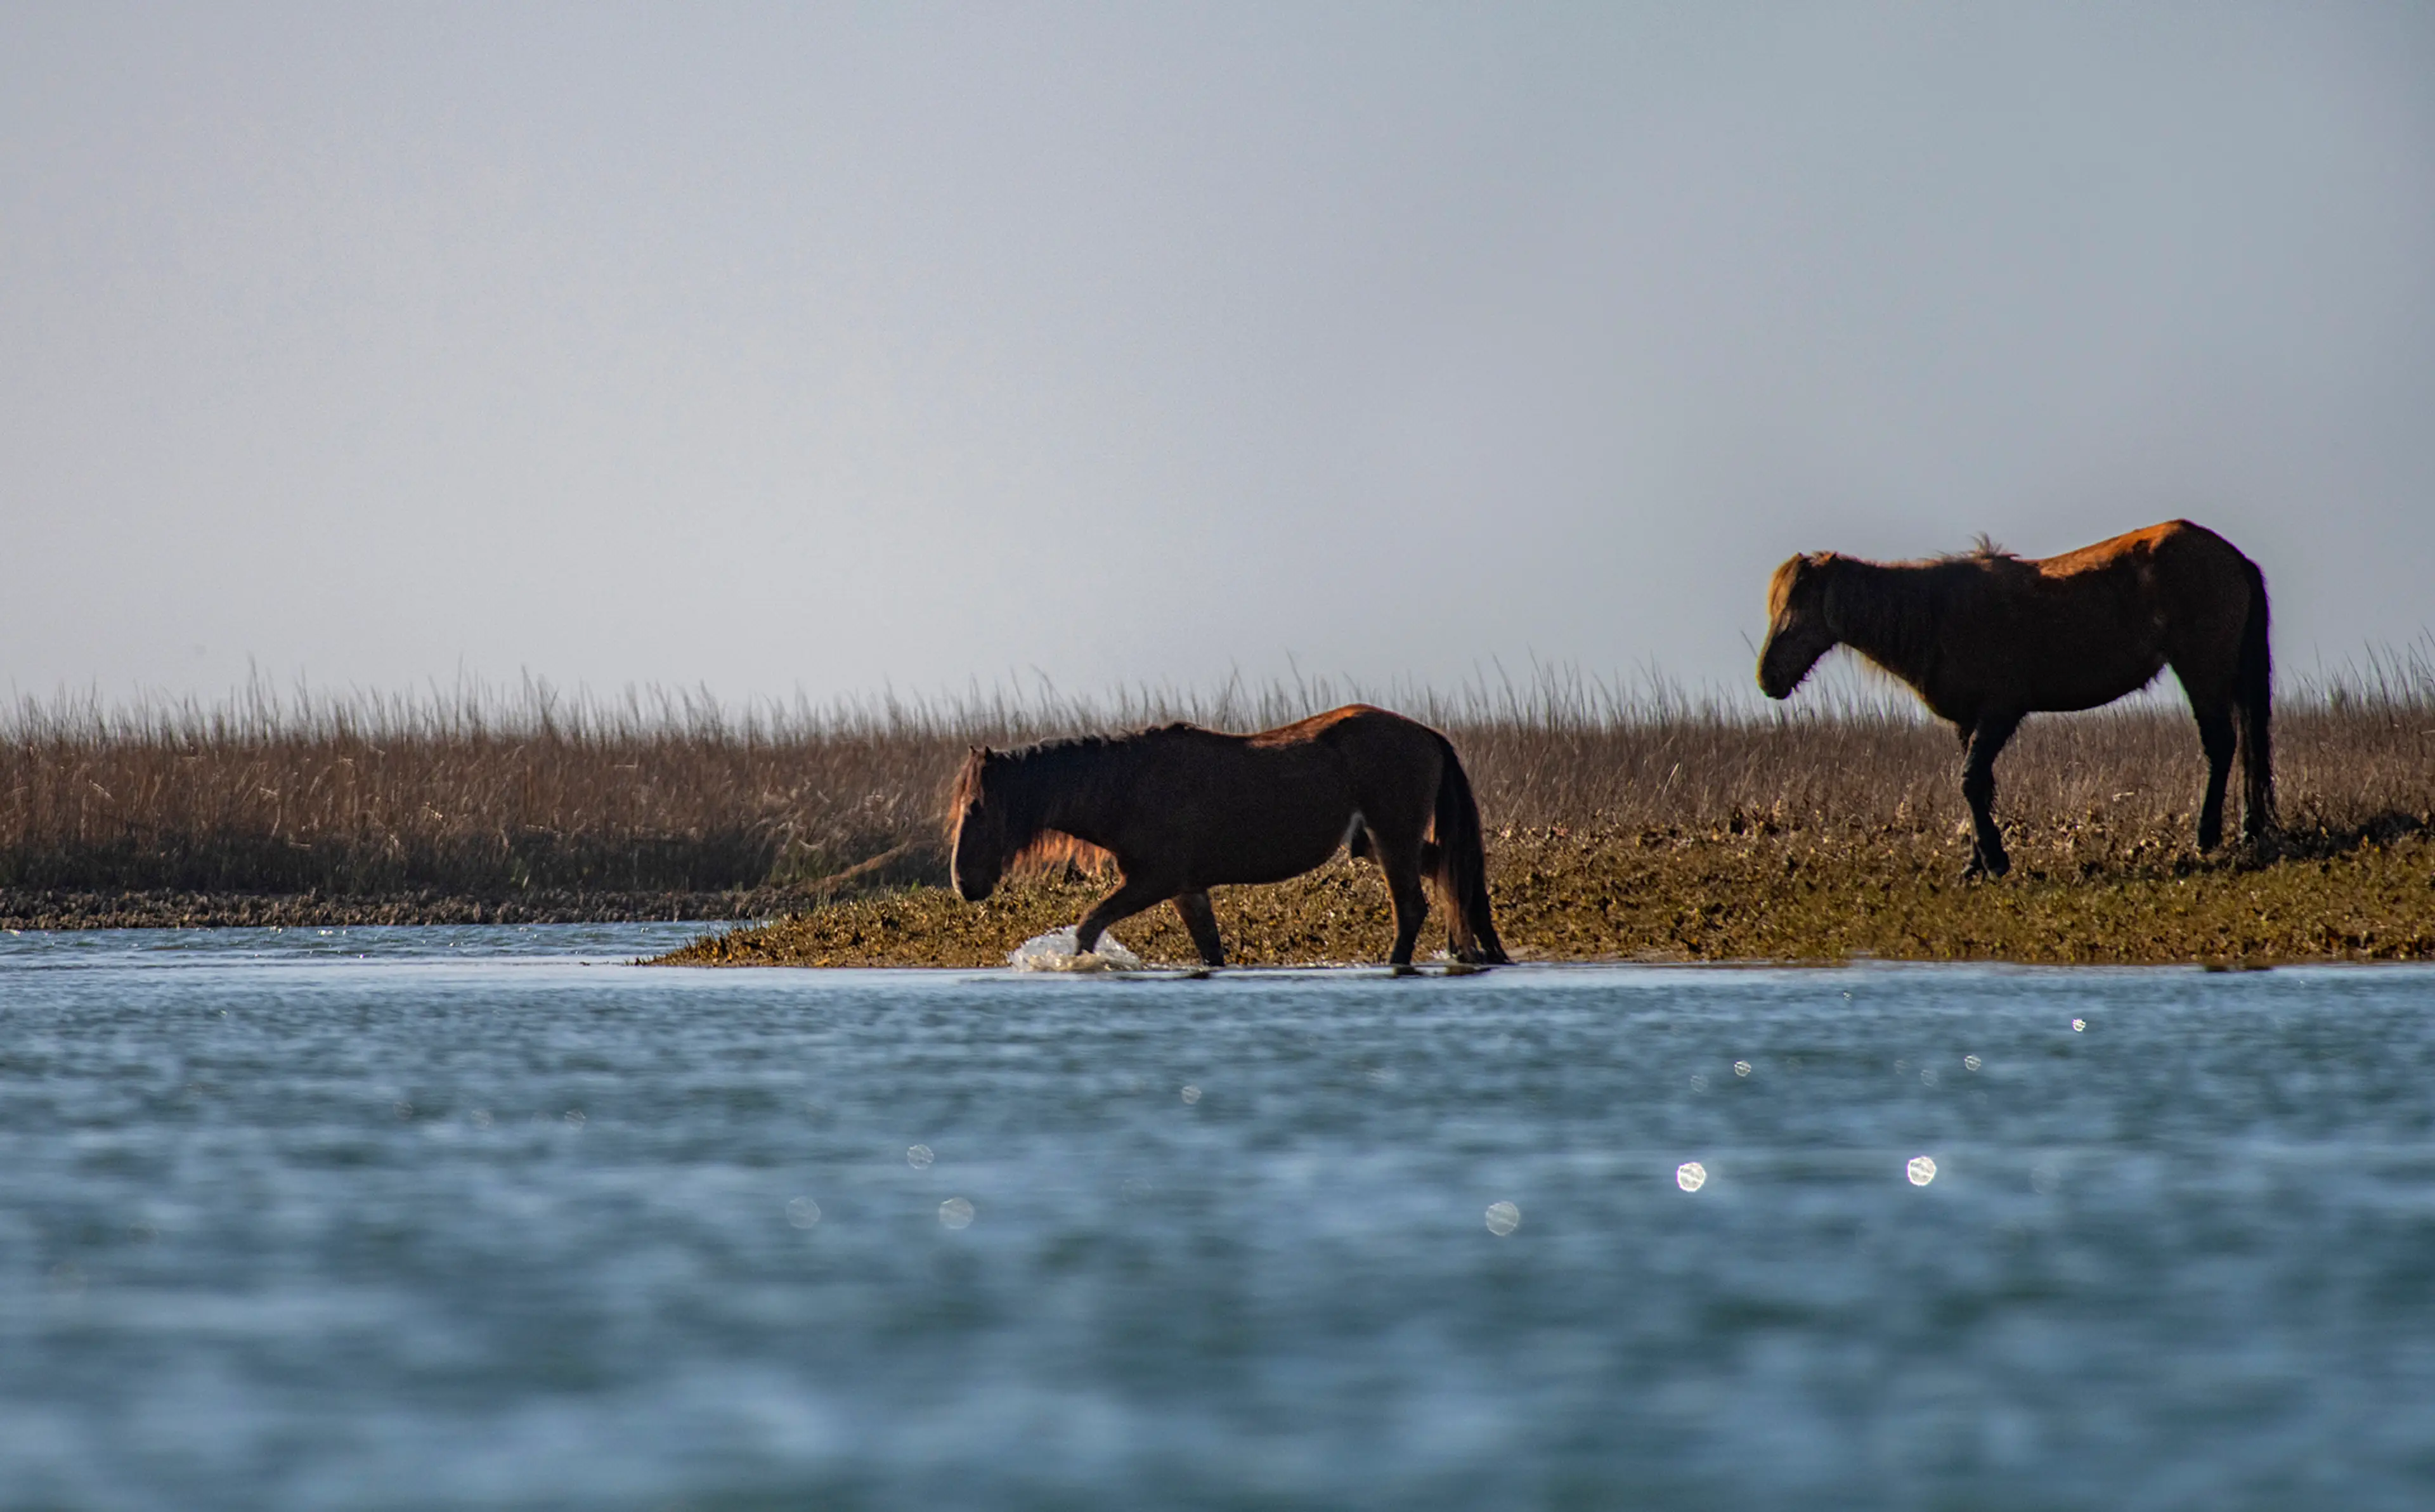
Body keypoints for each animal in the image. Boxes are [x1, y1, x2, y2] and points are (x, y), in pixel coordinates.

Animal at [946, 705, 1509, 969]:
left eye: (977, 807)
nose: (963, 883)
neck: (1126, 787)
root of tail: (1427, 734)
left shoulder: (1154, 881)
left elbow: (1087, 927)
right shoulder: (1187, 889)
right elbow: (1210, 949)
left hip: (1391, 837)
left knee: (1412, 906)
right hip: (1378, 841)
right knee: (1453, 876)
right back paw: (1477, 950)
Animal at [1757, 519, 2273, 878]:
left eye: (1796, 613)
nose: (1767, 678)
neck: (1937, 616)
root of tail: (2232, 556)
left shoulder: (2000, 713)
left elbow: (1970, 782)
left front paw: (1995, 861)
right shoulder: (1968, 722)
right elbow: (1978, 785)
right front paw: (1975, 863)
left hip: (2201, 669)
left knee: (2222, 744)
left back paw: (2208, 835)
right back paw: (2250, 828)